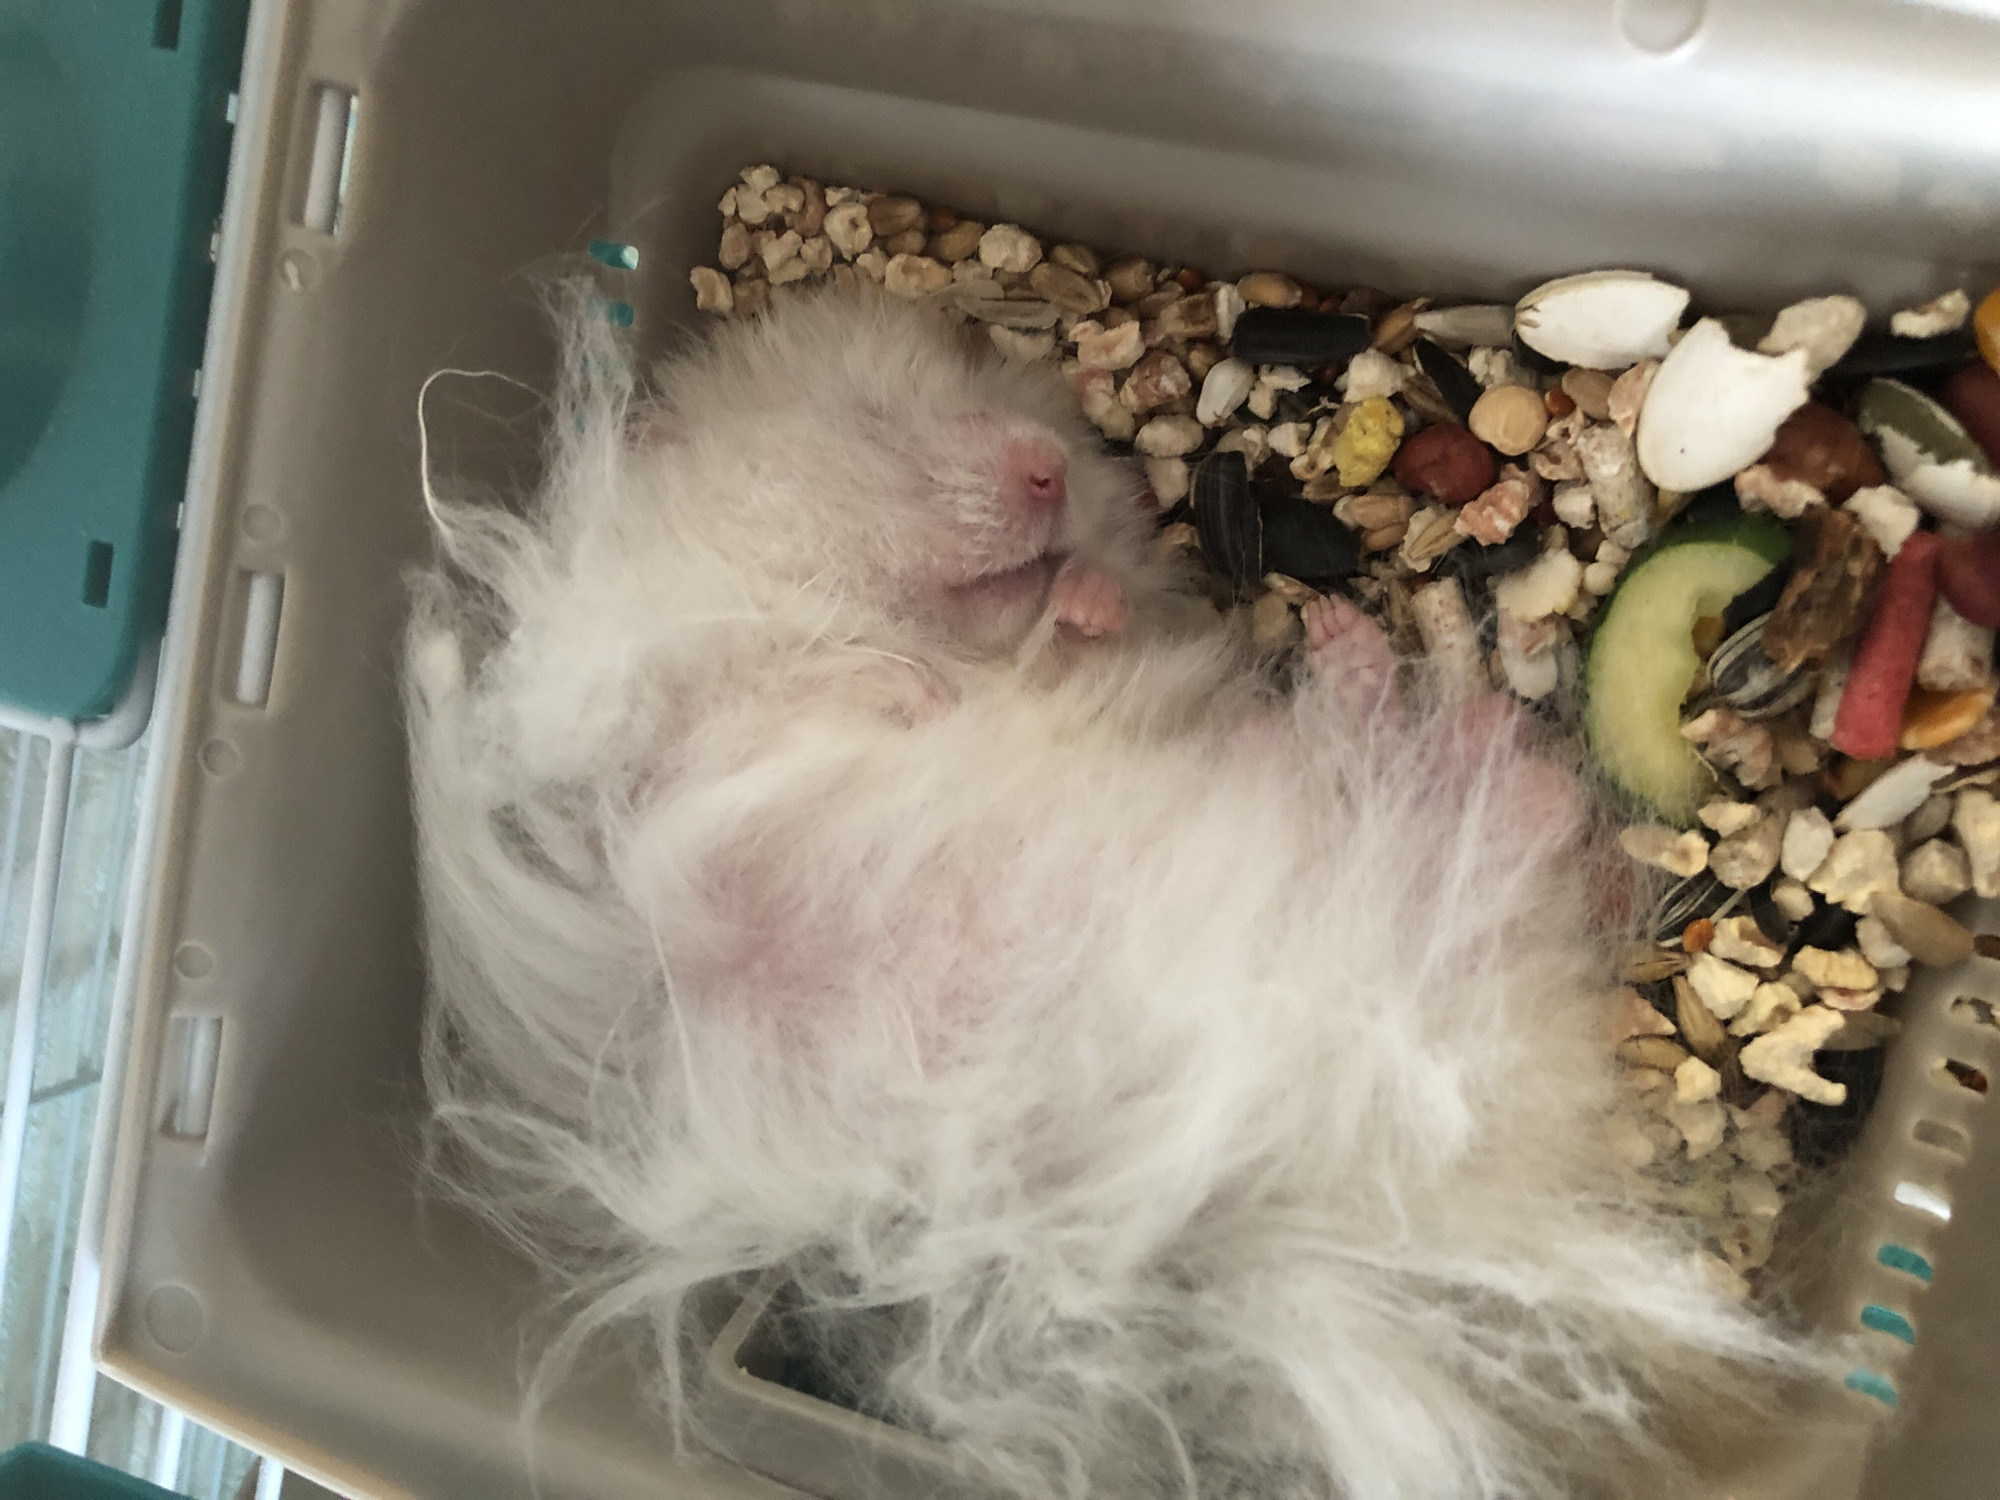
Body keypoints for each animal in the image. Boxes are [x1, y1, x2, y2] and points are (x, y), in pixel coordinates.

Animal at [406, 284, 1836, 1500]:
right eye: (874, 426)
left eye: (1031, 418)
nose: (1045, 469)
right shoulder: (663, 727)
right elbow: (797, 686)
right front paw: (912, 697)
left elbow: (1075, 634)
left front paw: (1080, 602)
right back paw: (1400, 706)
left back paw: (1403, 711)